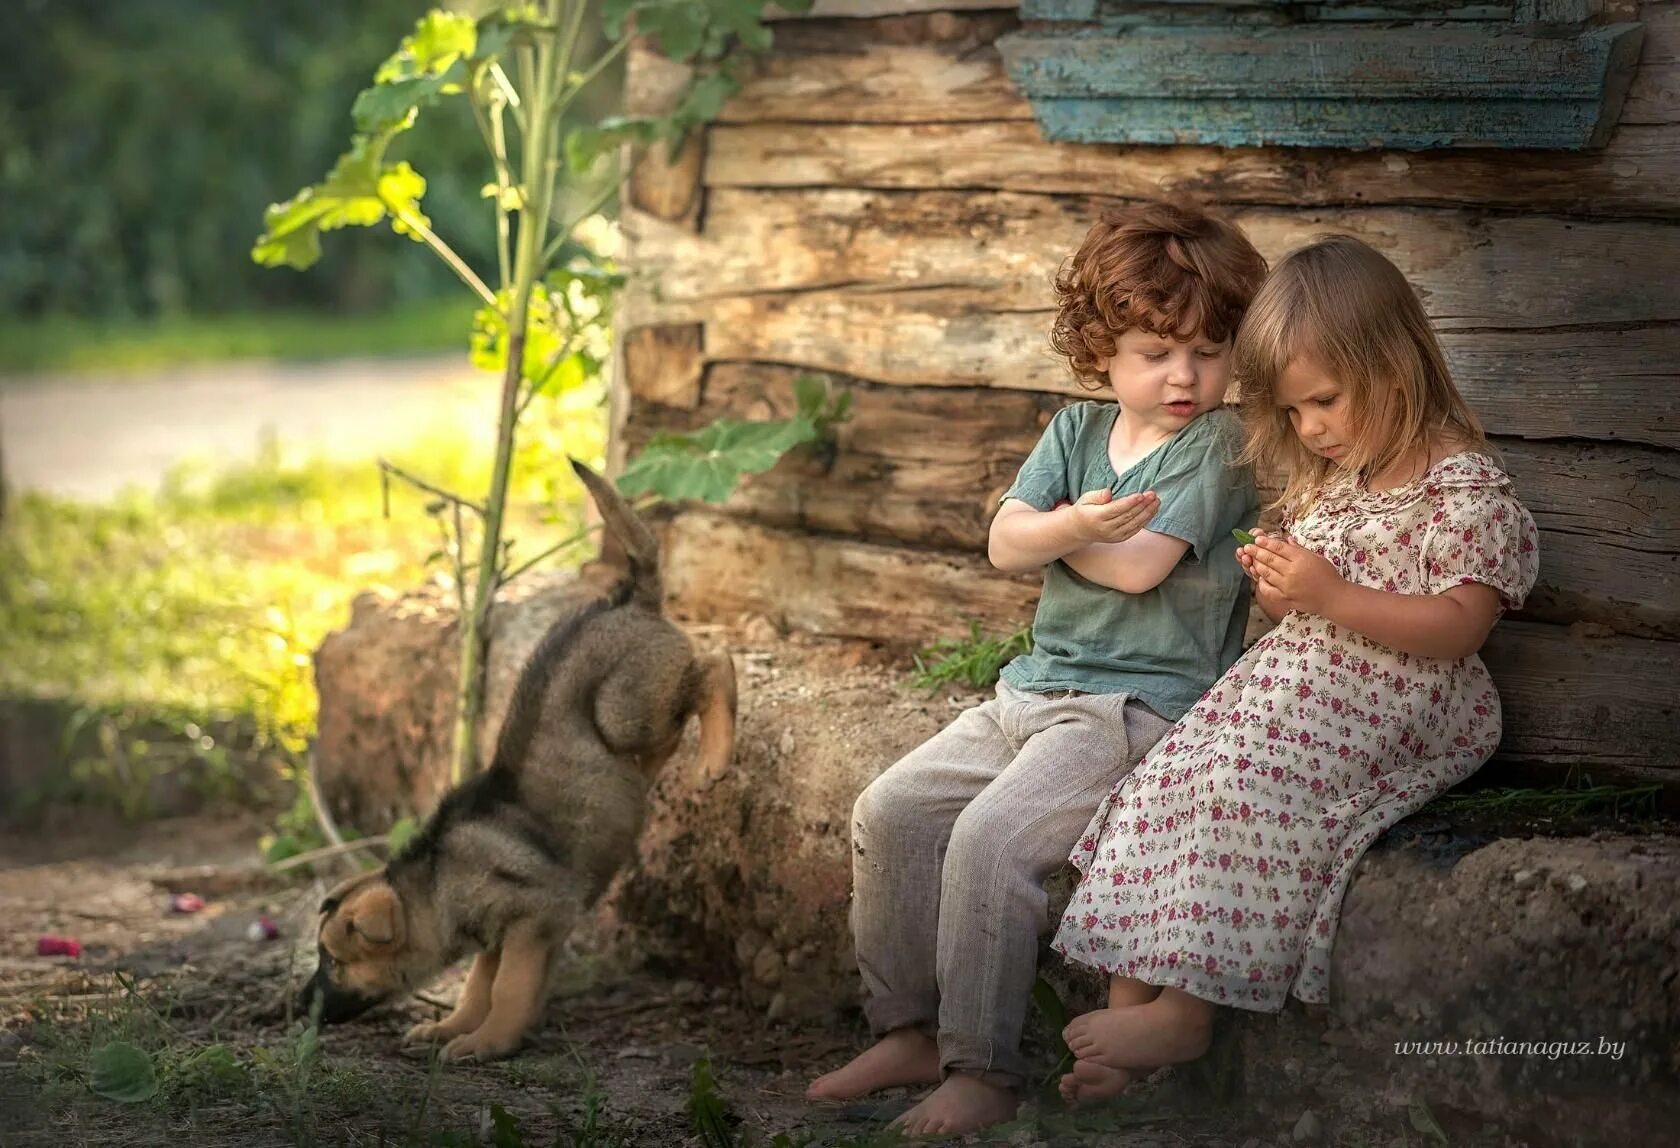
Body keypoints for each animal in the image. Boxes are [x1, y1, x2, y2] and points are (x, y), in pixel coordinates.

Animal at [302, 457, 735, 1062]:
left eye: (337, 962)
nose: (301, 1008)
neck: (435, 886)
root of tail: (626, 598)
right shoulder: (495, 938)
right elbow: (479, 986)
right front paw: (453, 1028)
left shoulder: (534, 917)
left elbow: (506, 988)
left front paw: (488, 1043)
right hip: (630, 736)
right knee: (666, 732)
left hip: (624, 708)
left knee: (716, 665)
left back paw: (717, 754)